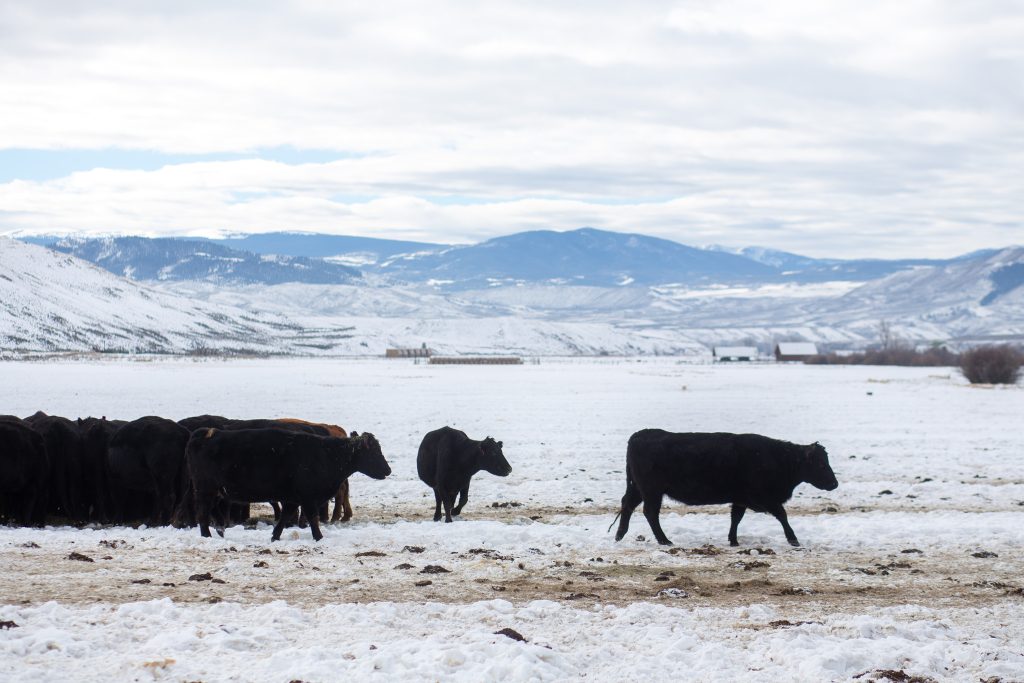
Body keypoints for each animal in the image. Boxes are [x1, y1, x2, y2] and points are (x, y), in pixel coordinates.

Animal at [187, 428, 391, 542]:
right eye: (374, 451)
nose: (388, 470)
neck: (327, 455)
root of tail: (207, 433)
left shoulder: (293, 499)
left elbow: (284, 517)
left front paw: (275, 536)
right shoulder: (308, 498)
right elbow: (312, 518)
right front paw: (319, 537)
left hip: (214, 491)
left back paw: (220, 533)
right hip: (205, 489)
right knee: (203, 512)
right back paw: (207, 535)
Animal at [613, 430, 838, 547]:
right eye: (820, 464)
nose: (834, 483)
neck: (781, 459)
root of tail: (640, 435)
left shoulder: (740, 498)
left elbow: (735, 518)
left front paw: (733, 540)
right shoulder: (764, 498)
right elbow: (782, 515)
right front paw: (793, 539)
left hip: (639, 489)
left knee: (628, 505)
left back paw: (620, 535)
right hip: (652, 491)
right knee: (650, 512)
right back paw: (664, 540)